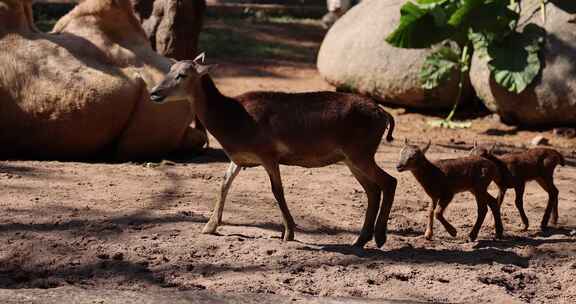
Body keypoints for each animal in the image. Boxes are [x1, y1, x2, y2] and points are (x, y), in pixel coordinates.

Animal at [147, 54, 396, 247]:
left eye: (182, 75)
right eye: (169, 69)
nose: (154, 92)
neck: (232, 122)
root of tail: (383, 113)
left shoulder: (268, 153)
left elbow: (277, 190)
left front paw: (288, 233)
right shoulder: (240, 158)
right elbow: (224, 184)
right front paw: (209, 227)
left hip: (361, 152)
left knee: (389, 181)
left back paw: (380, 238)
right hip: (350, 158)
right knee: (373, 190)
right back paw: (360, 240)